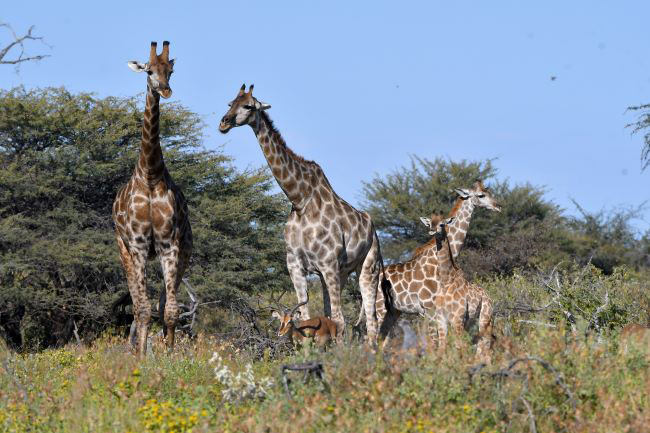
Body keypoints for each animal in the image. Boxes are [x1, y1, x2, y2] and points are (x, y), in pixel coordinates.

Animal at [112, 41, 192, 356]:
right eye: (149, 71)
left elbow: (169, 310)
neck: (149, 174)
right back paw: (135, 349)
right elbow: (143, 309)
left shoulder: (170, 244)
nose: (165, 90)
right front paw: (143, 358)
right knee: (137, 305)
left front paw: (171, 357)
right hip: (124, 251)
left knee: (162, 302)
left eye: (170, 70)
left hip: (182, 252)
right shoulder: (136, 244)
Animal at [218, 84, 383, 342]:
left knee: (371, 319)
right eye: (229, 103)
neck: (299, 200)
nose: (224, 123)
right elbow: (307, 316)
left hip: (367, 266)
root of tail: (371, 227)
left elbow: (339, 320)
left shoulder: (328, 264)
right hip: (340, 273)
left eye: (248, 106)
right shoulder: (295, 265)